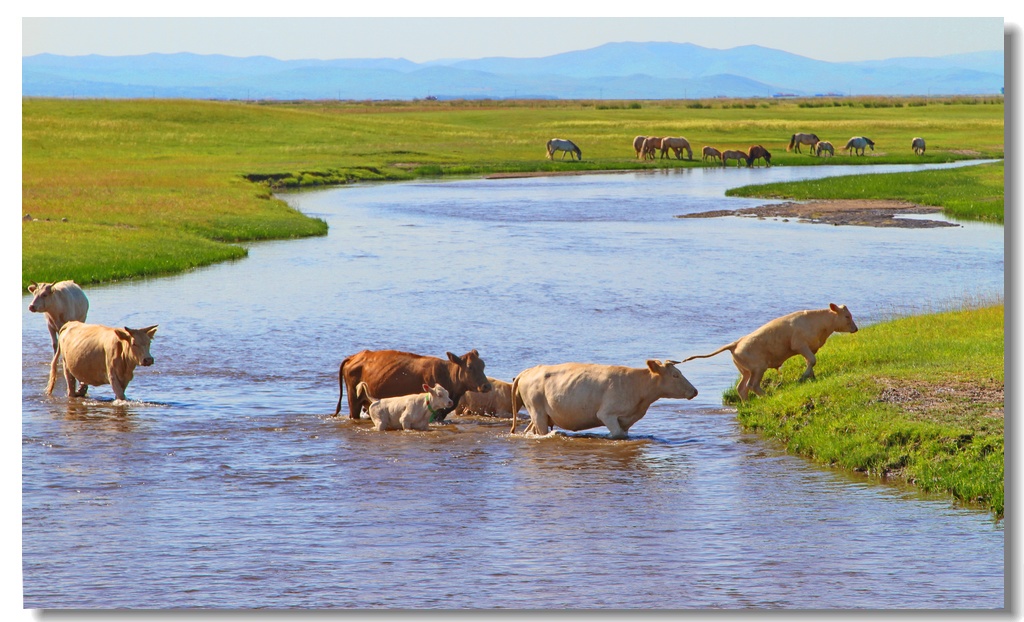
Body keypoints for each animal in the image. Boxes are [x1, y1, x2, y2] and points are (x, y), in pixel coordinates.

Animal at [509, 358, 700, 440]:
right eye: (675, 375)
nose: (694, 391)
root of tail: (528, 371)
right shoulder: (607, 414)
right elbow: (616, 434)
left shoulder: (626, 420)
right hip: (537, 411)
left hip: (538, 414)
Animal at [684, 303, 860, 401]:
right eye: (847, 316)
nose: (856, 328)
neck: (819, 323)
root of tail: (736, 343)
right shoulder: (800, 345)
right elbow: (812, 360)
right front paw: (804, 376)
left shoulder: (810, 348)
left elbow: (810, 361)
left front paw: (812, 376)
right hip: (758, 368)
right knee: (752, 385)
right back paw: (766, 396)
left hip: (746, 370)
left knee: (742, 388)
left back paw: (747, 404)